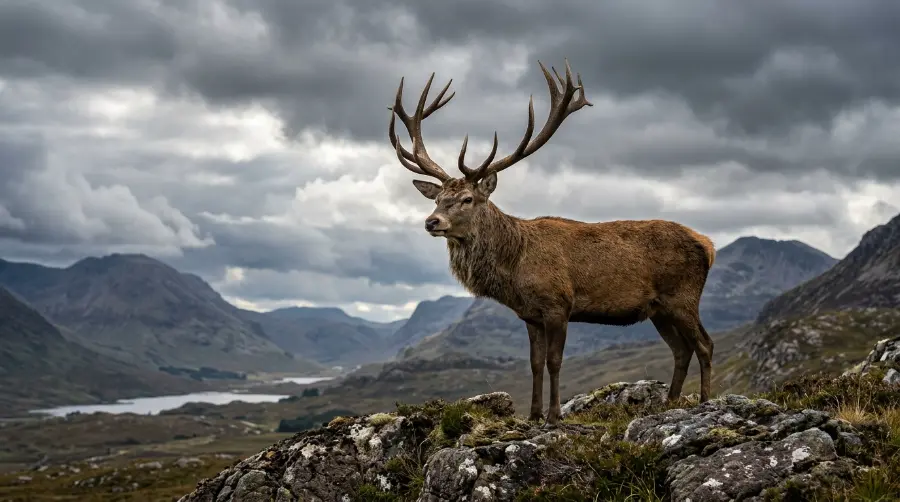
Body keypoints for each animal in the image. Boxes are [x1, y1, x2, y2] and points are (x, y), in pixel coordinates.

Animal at [387, 59, 717, 426]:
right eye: (437, 199)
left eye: (467, 199)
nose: (432, 222)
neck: (514, 268)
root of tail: (707, 244)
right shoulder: (530, 315)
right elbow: (534, 364)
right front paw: (533, 414)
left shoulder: (559, 304)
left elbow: (554, 362)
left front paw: (554, 415)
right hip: (659, 308)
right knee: (681, 349)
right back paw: (669, 402)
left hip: (683, 296)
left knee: (704, 344)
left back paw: (705, 400)